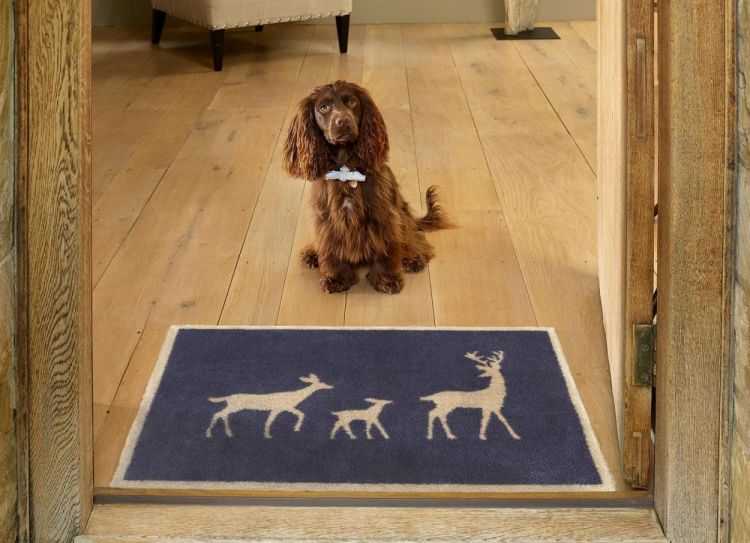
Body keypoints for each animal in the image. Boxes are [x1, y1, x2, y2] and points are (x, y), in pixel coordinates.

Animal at [205, 373, 333, 439]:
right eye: (322, 383)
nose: (331, 386)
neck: (294, 396)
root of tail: (228, 397)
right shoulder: (280, 407)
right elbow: (271, 420)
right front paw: (268, 435)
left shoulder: (282, 408)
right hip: (235, 406)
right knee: (218, 414)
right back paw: (210, 433)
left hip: (232, 407)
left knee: (222, 414)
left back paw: (228, 433)